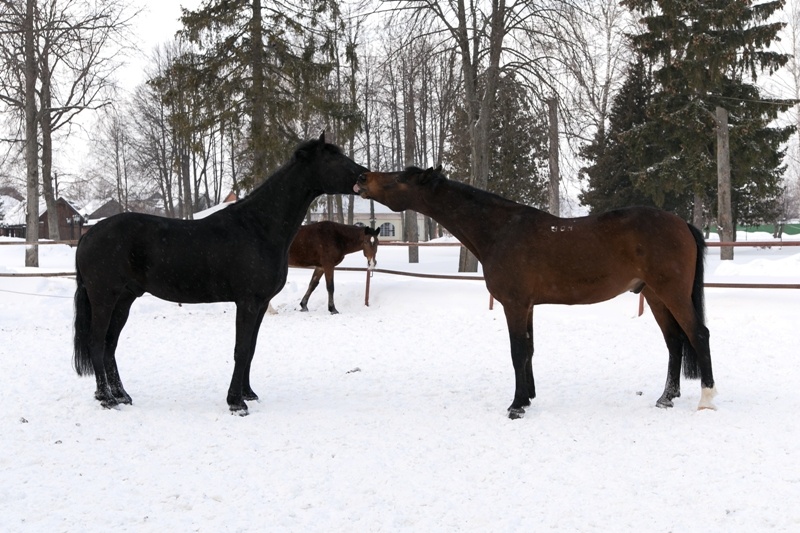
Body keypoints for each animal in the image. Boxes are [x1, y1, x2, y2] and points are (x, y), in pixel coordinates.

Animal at [73, 132, 368, 412]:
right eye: (332, 158)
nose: (364, 176)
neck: (259, 227)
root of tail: (88, 236)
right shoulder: (247, 302)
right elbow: (241, 349)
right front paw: (236, 403)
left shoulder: (261, 304)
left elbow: (251, 349)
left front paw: (248, 394)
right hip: (104, 298)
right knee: (97, 343)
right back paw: (107, 399)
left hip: (124, 299)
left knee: (110, 345)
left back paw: (121, 395)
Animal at [354, 166, 716, 420]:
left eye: (400, 178)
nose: (361, 177)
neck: (499, 231)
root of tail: (682, 224)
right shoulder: (527, 306)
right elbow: (528, 350)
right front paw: (527, 398)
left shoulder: (514, 304)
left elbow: (517, 351)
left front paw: (516, 406)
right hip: (654, 295)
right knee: (674, 342)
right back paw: (666, 398)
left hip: (672, 293)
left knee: (698, 334)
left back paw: (706, 401)